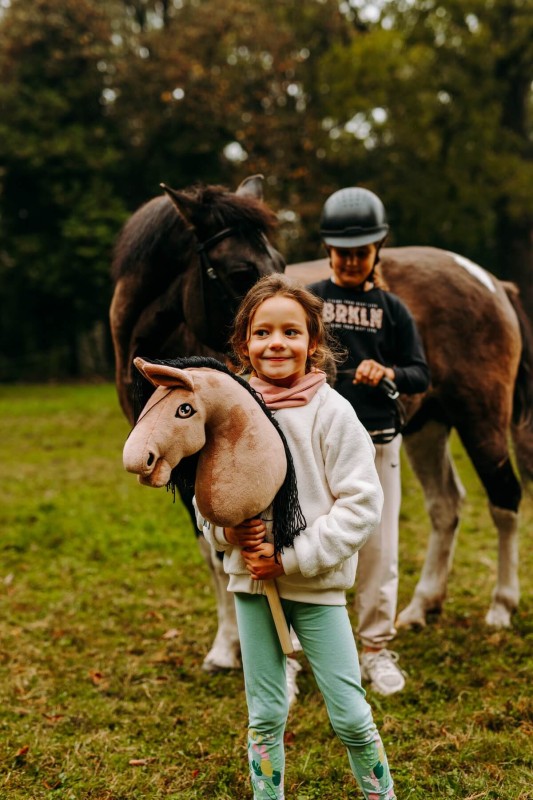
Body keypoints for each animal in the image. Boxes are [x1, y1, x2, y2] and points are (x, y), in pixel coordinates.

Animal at [285, 247, 533, 630]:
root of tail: (493, 283)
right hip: (427, 425)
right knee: (445, 504)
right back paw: (421, 605)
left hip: (480, 419)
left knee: (504, 497)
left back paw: (502, 605)